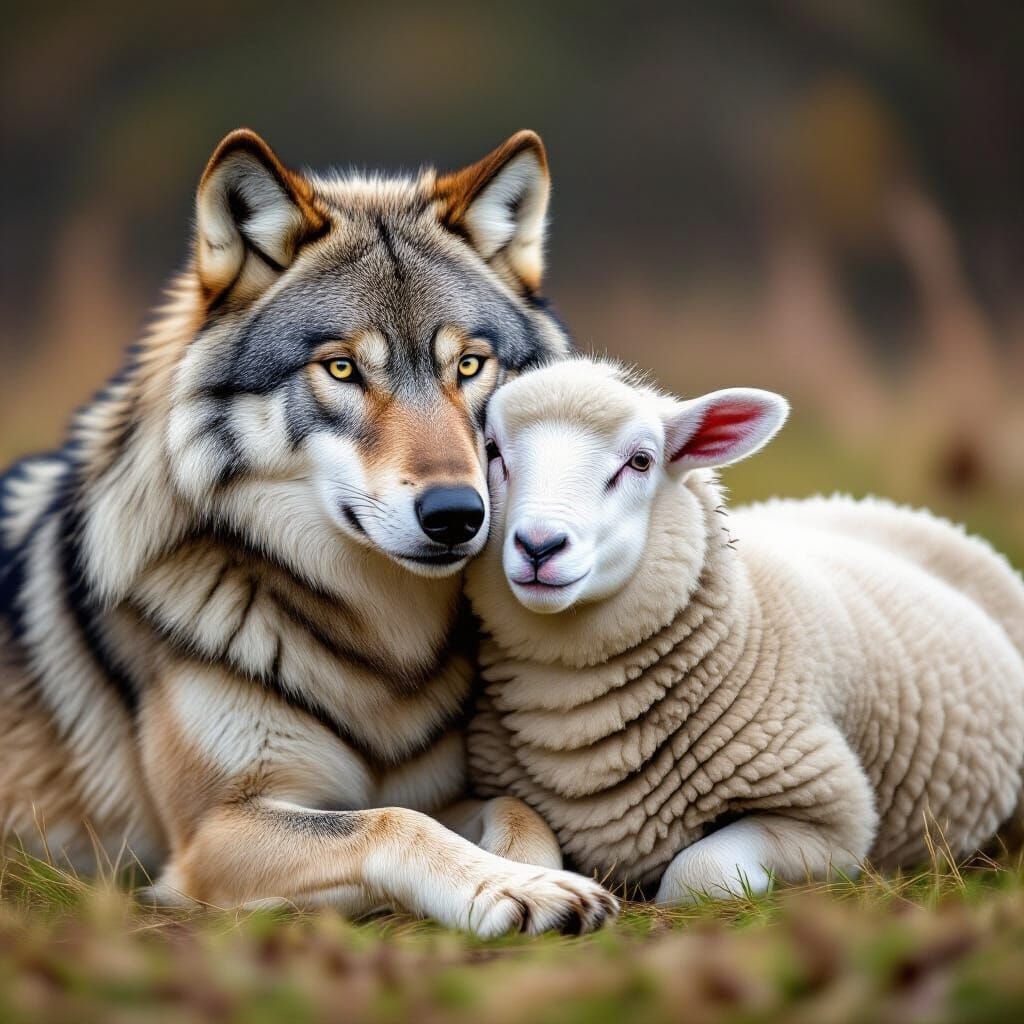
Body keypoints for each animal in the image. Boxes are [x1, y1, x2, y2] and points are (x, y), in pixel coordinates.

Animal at [0, 129, 617, 934]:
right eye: (344, 368)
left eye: (469, 365)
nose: (457, 514)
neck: (382, 650)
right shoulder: (212, 833)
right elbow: (392, 823)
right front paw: (515, 888)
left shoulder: (451, 787)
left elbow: (517, 810)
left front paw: (528, 874)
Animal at [465, 357, 1024, 902]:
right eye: (491, 450)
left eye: (641, 461)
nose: (539, 545)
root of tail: (862, 502)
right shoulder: (487, 792)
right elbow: (519, 846)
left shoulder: (833, 815)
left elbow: (698, 874)